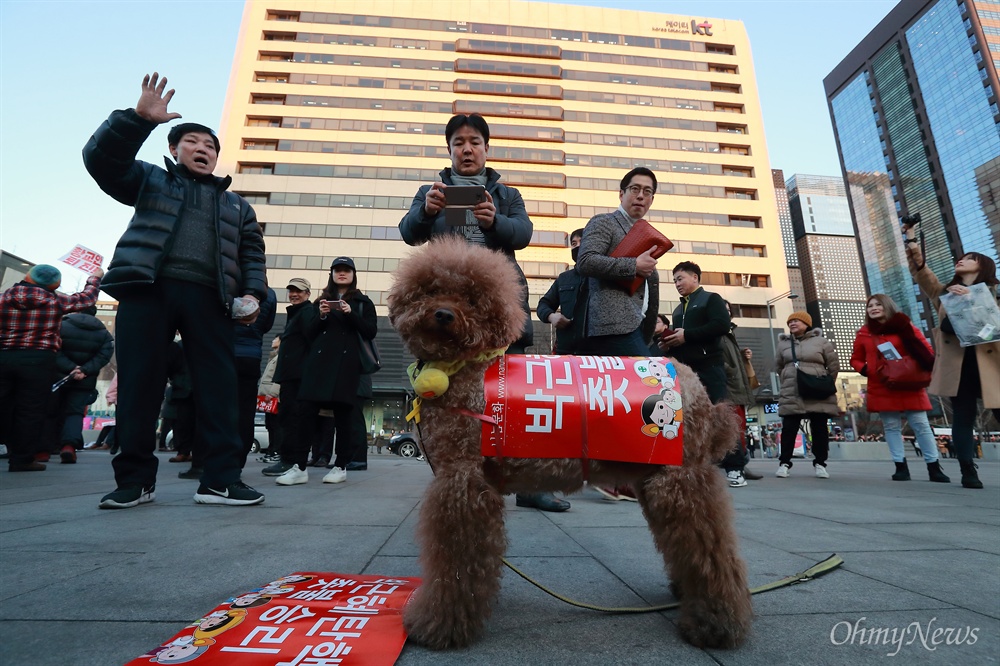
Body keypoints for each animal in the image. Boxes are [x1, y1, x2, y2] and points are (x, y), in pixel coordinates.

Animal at [388, 237, 752, 648]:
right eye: (429, 289)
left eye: (471, 297)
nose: (443, 314)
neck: (463, 370)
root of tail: (696, 388)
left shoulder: (463, 481)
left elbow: (454, 564)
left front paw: (437, 625)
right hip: (656, 478)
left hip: (679, 478)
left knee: (711, 548)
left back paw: (715, 624)